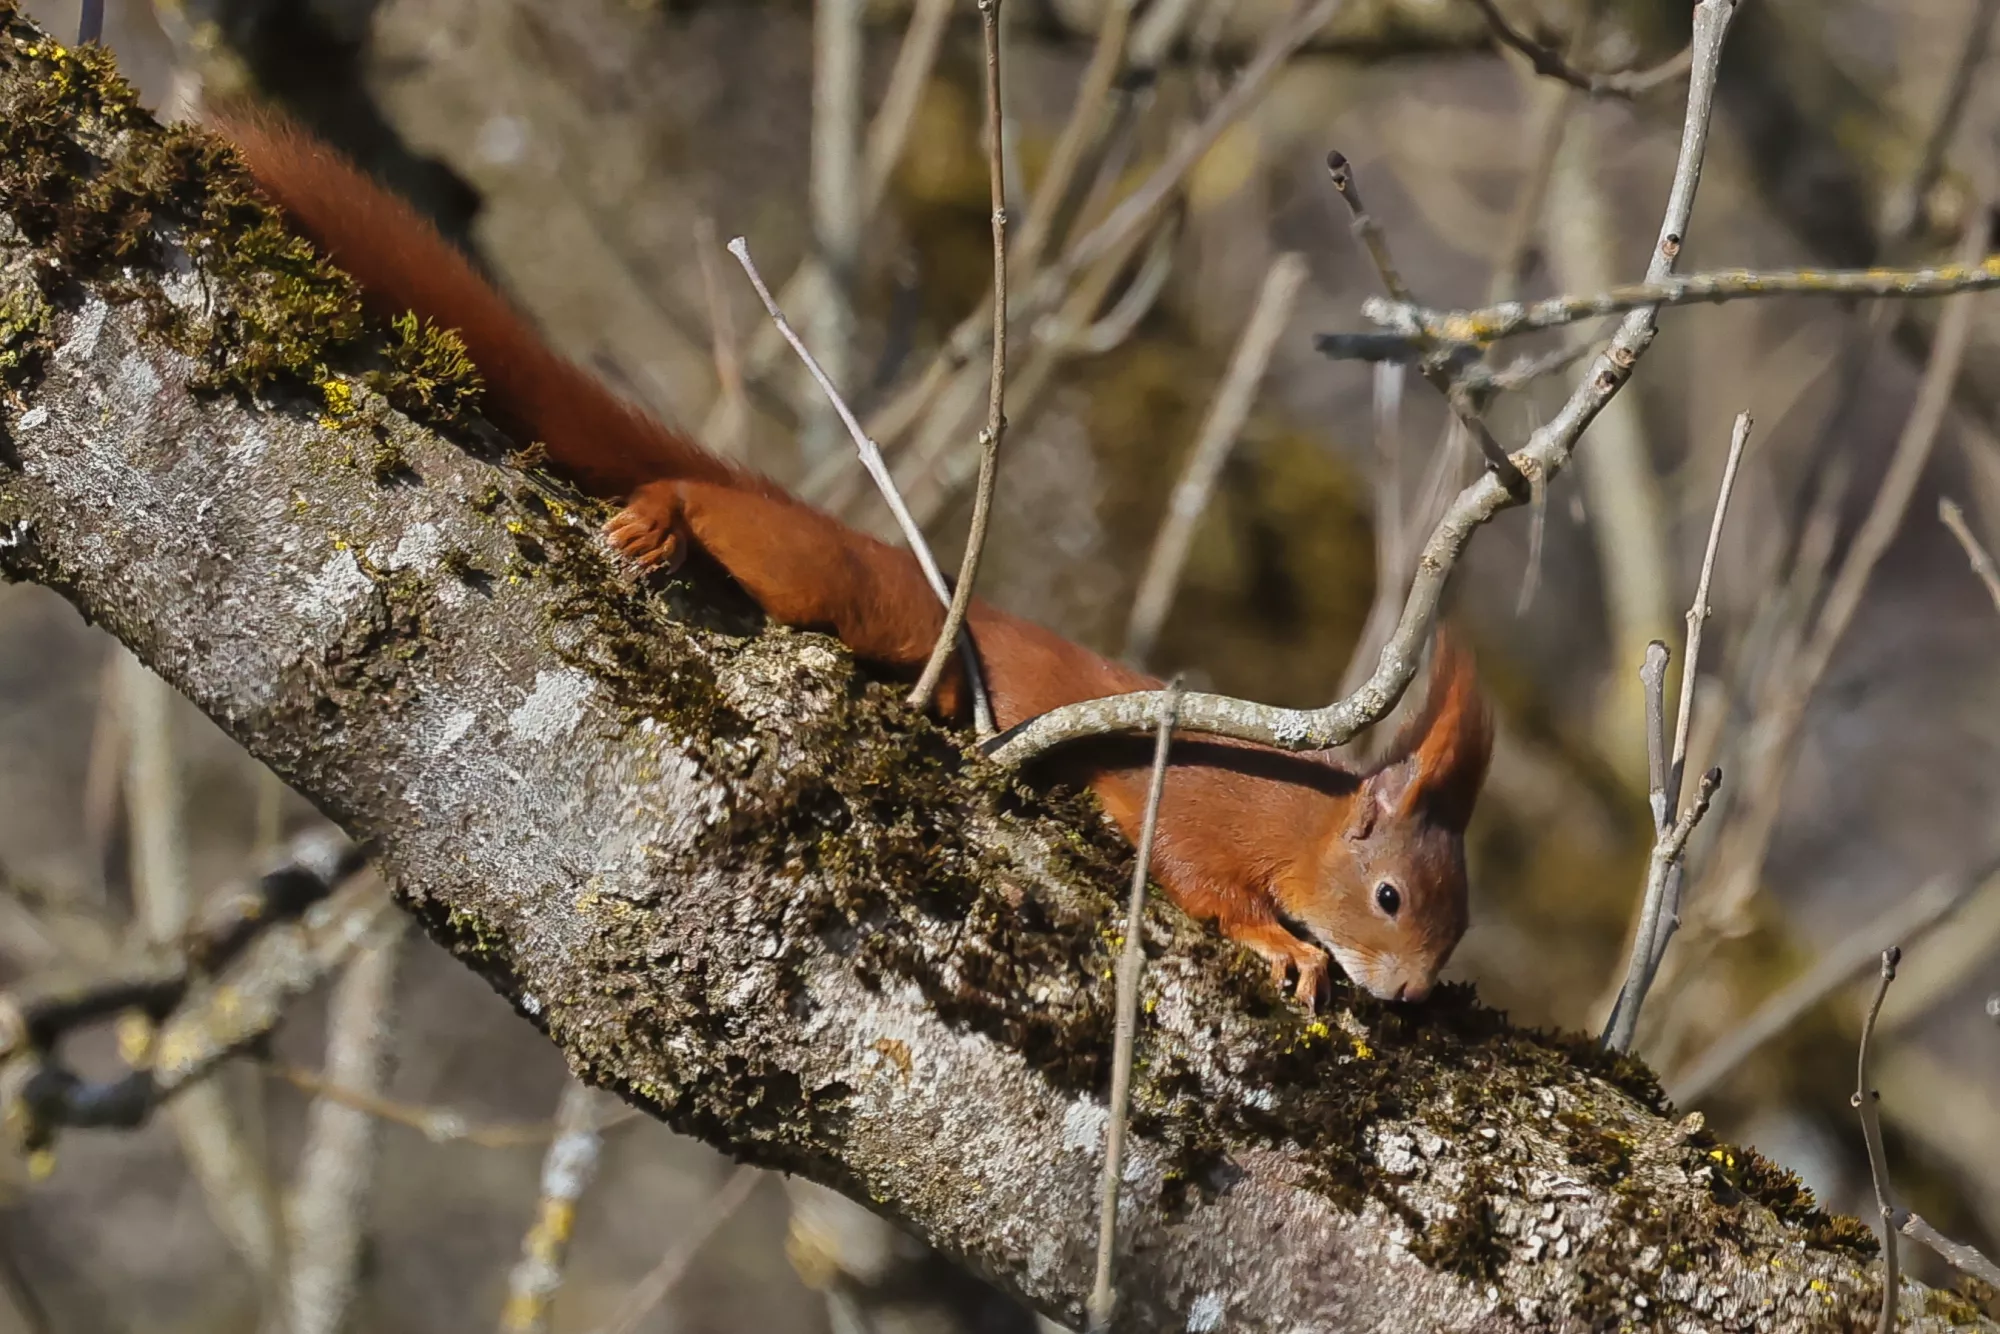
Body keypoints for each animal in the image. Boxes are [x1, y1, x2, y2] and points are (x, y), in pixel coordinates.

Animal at [210, 107, 1494, 1007]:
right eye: (1386, 895)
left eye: (1456, 919)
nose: (1408, 991)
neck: (1303, 820)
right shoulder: (1194, 808)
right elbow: (1194, 878)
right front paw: (1288, 946)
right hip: (848, 595)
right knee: (746, 532)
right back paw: (666, 512)